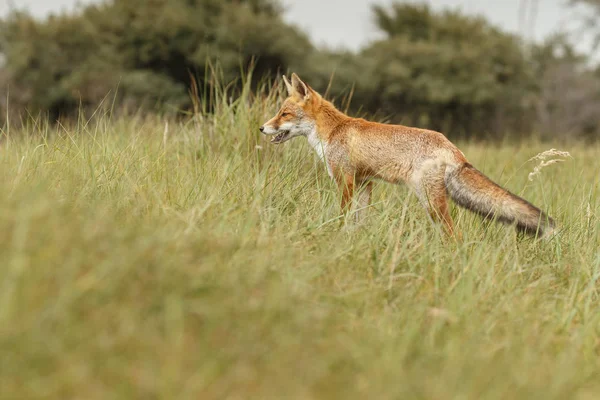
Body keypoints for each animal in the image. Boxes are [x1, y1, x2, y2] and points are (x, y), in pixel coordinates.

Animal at [260, 72, 556, 238]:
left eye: (284, 114)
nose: (262, 127)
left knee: (455, 234)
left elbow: (342, 215)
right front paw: (353, 239)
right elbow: (360, 219)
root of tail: (453, 148)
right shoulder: (365, 183)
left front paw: (335, 233)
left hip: (430, 201)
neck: (333, 132)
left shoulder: (345, 180)